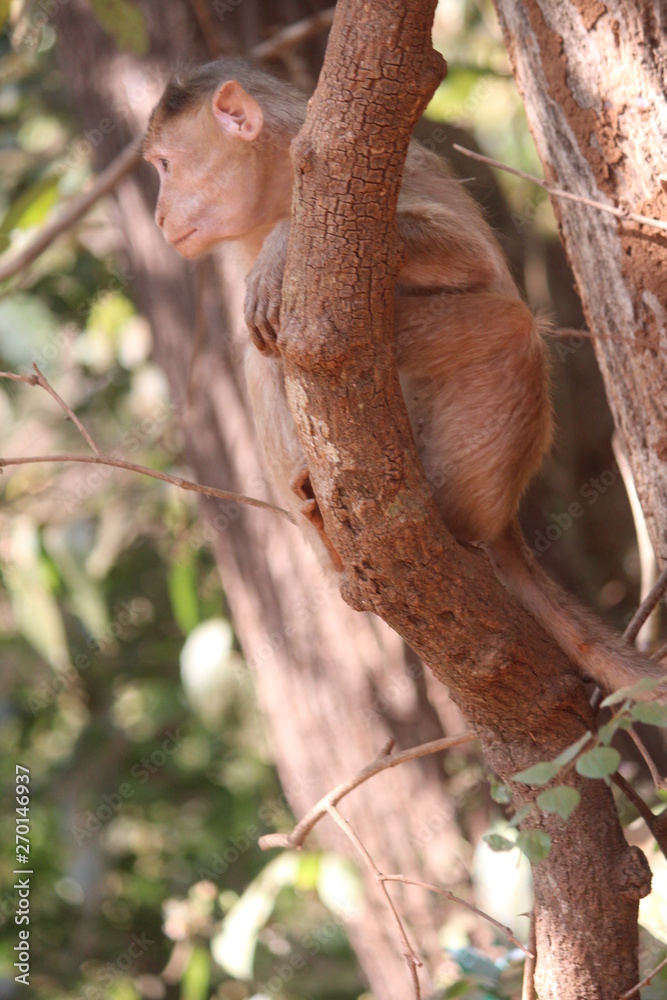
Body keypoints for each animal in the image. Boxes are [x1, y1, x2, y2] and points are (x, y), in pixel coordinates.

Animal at [143, 56, 664, 698]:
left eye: (166, 166)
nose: (158, 215)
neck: (278, 182)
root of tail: (504, 522)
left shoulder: (368, 176)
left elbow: (470, 261)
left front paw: (283, 245)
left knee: (510, 326)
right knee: (260, 357)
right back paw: (328, 530)